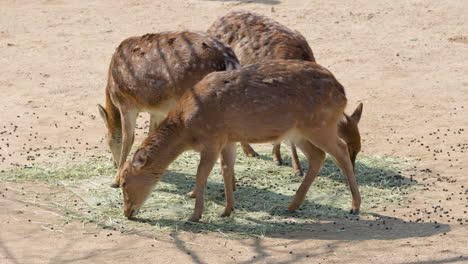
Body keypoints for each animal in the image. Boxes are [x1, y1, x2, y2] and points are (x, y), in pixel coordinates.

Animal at [95, 30, 256, 188]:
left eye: (108, 140)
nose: (114, 164)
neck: (111, 89)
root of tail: (230, 59)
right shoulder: (156, 110)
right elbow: (151, 134)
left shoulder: (126, 103)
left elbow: (128, 138)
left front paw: (116, 180)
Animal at [119, 60, 362, 223]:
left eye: (123, 182)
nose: (127, 212)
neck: (187, 128)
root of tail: (342, 92)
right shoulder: (228, 139)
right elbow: (226, 169)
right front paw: (227, 210)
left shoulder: (212, 138)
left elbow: (202, 174)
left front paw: (194, 216)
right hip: (299, 132)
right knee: (317, 156)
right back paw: (292, 206)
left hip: (320, 124)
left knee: (340, 152)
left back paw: (355, 206)